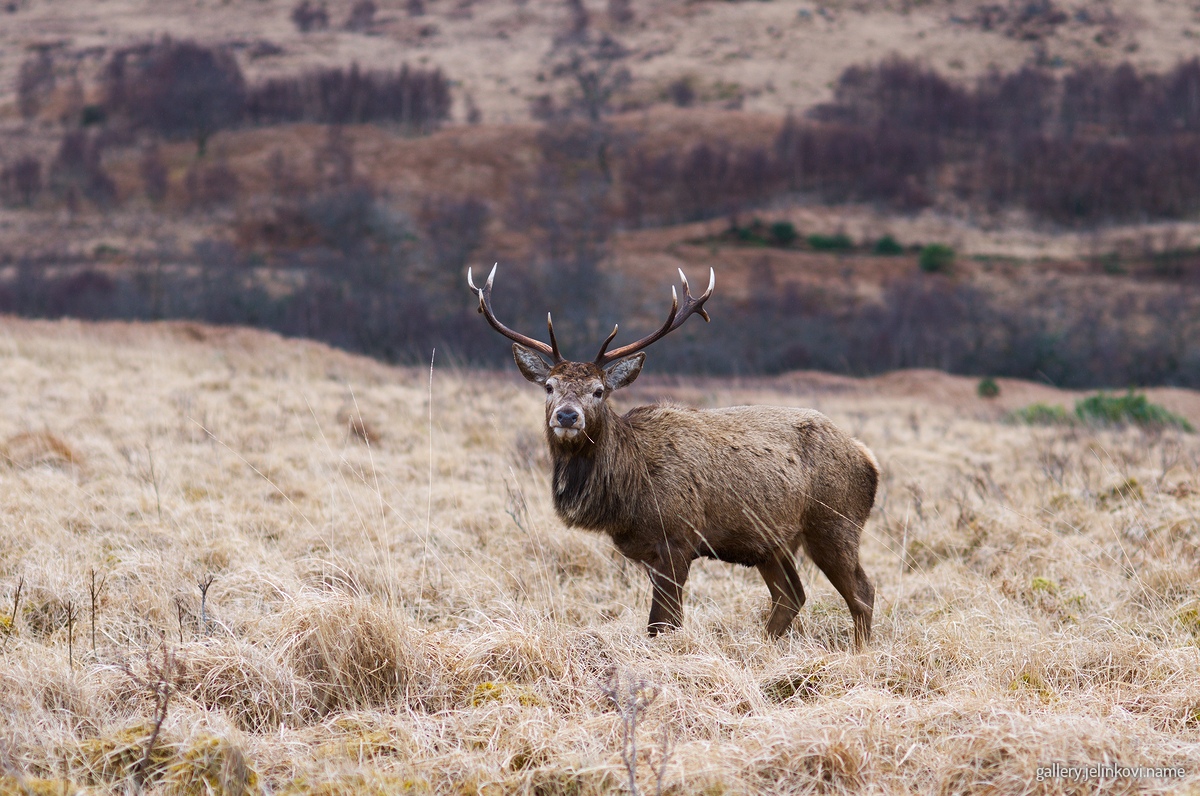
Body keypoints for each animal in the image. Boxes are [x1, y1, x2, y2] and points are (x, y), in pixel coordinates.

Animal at [467, 265, 879, 648]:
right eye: (550, 386)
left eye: (599, 390)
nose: (567, 416)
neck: (628, 494)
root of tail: (866, 456)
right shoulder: (653, 552)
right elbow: (661, 622)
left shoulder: (679, 537)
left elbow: (663, 624)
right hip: (770, 542)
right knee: (791, 594)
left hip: (835, 521)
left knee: (862, 592)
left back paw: (859, 654)